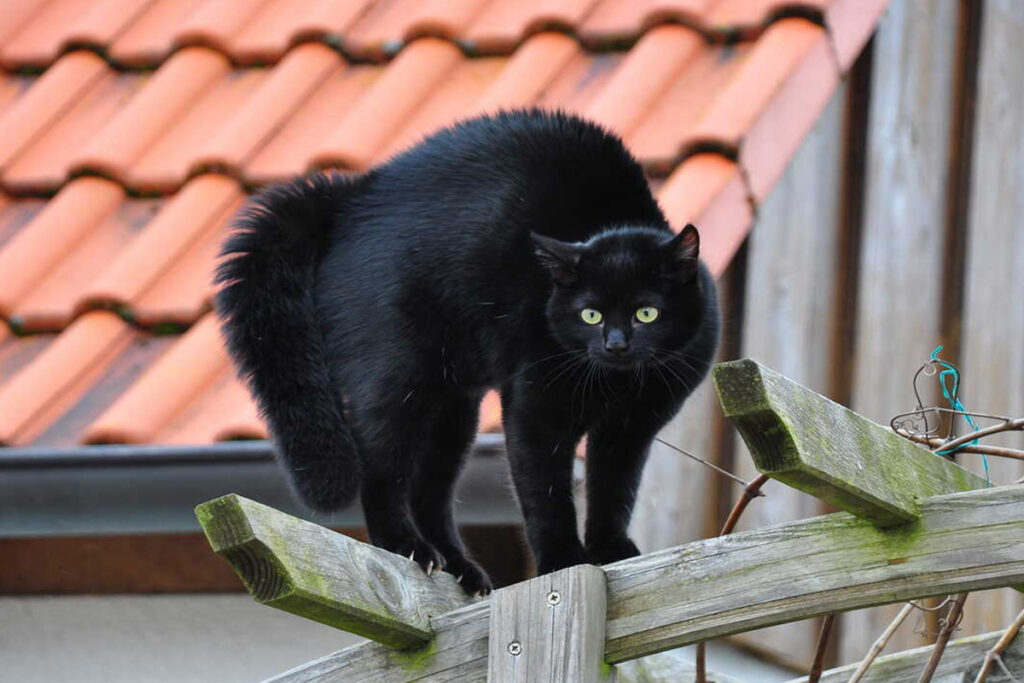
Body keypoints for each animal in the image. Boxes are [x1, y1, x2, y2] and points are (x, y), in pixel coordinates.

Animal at [216, 109, 720, 593]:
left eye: (646, 313)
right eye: (590, 314)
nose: (615, 344)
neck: (615, 383)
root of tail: (347, 200)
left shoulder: (630, 429)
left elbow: (615, 490)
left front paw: (610, 549)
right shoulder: (535, 413)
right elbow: (546, 494)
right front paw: (562, 562)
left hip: (452, 411)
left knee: (430, 493)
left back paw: (460, 568)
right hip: (397, 383)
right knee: (381, 473)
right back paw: (406, 548)